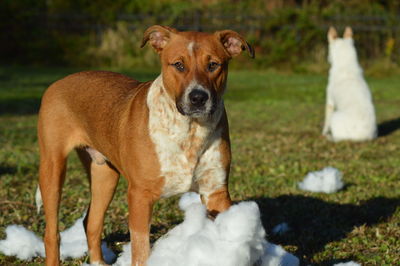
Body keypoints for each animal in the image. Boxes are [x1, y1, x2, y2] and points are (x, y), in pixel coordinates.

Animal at [37, 24, 253, 264]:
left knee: (91, 221)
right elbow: (141, 252)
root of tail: (59, 82)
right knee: (51, 233)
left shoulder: (216, 193)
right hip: (53, 168)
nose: (198, 97)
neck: (190, 131)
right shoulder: (140, 196)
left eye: (213, 65)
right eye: (179, 65)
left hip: (105, 174)